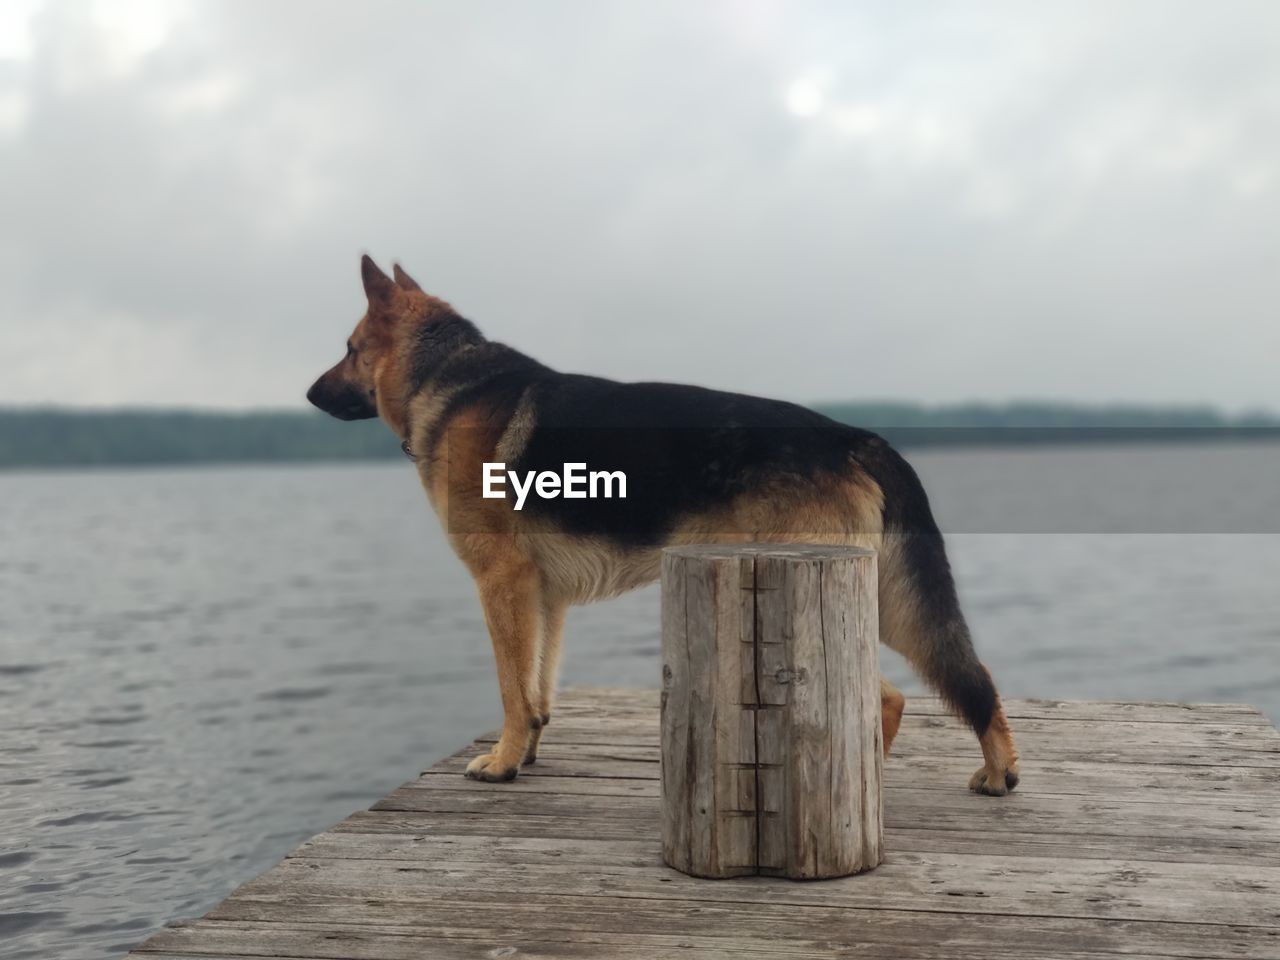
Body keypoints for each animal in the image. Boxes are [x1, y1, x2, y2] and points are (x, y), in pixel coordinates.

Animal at [307, 256, 1018, 798]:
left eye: (349, 350)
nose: (310, 396)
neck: (446, 380)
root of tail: (857, 437)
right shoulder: (543, 598)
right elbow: (537, 688)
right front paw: (526, 753)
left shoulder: (500, 582)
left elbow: (511, 687)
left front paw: (503, 763)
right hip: (871, 601)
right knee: (961, 679)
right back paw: (983, 770)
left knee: (901, 694)